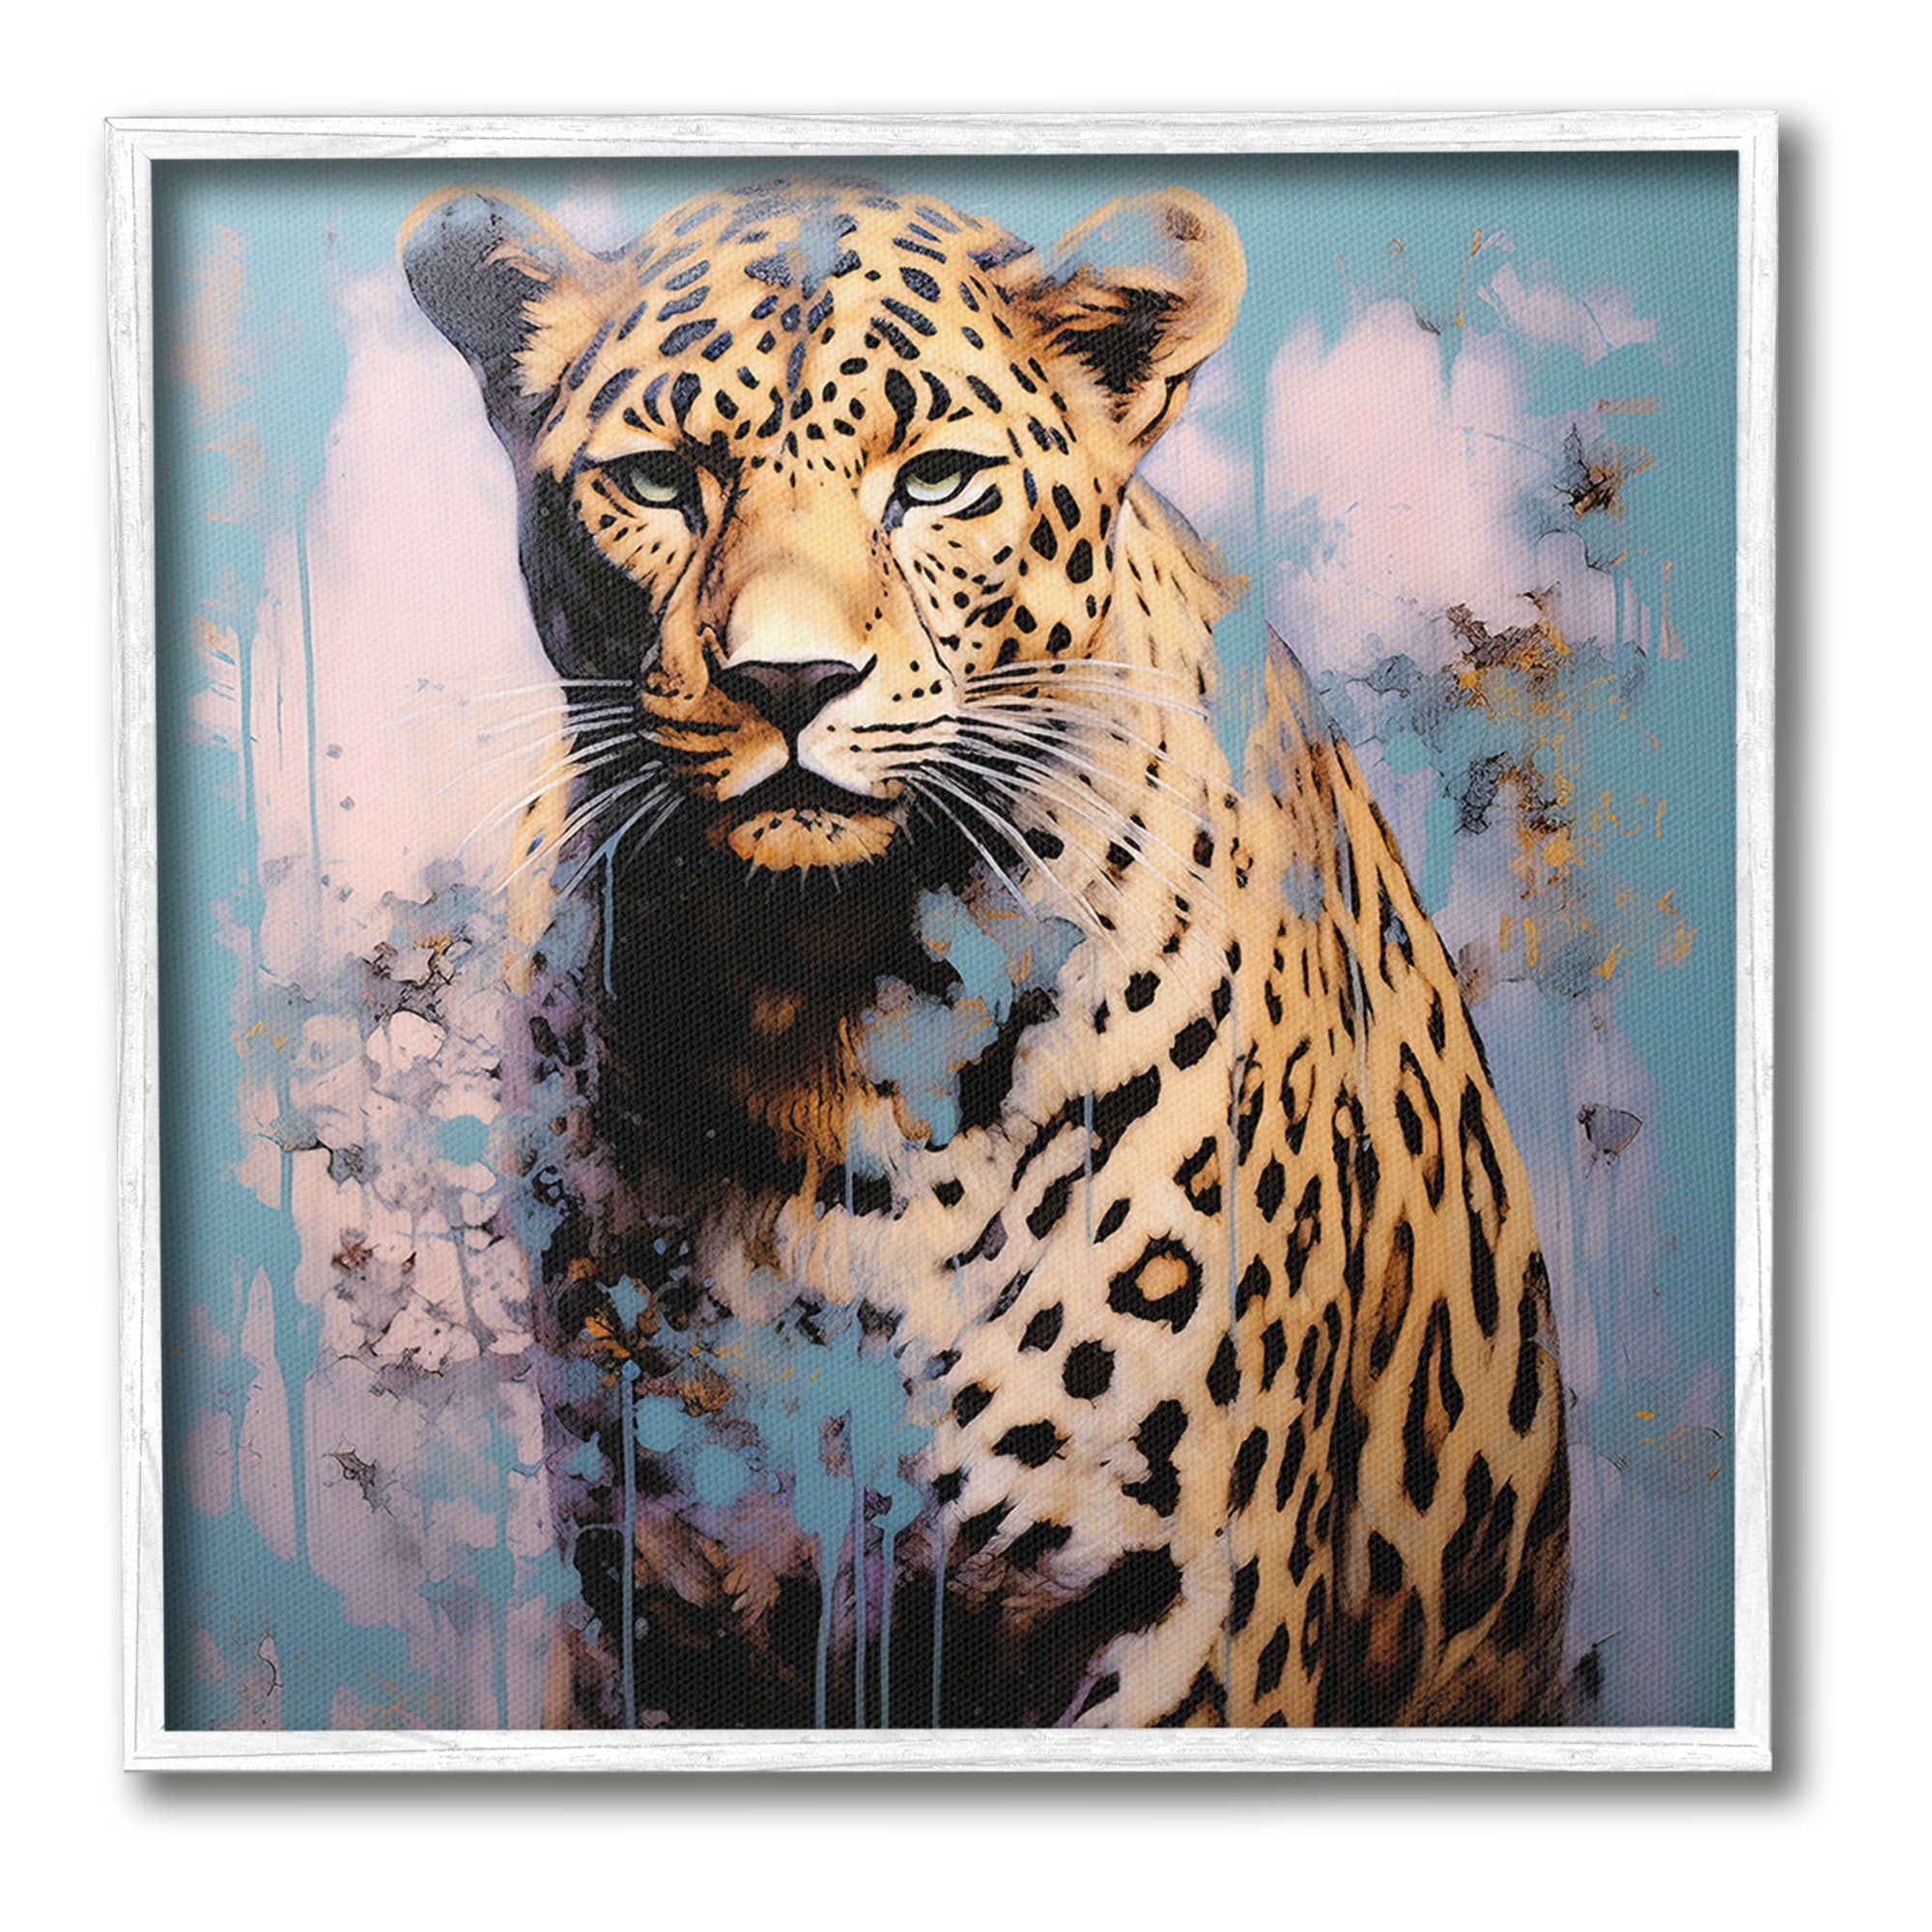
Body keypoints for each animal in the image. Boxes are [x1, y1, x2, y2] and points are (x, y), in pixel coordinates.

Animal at [402, 173, 1569, 1729]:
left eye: (939, 478)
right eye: (657, 482)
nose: (788, 680)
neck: (813, 1006)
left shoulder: (1179, 1598)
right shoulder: (651, 1603)